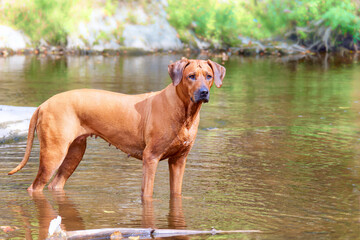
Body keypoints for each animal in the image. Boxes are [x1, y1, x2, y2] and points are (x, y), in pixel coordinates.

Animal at [8, 57, 225, 197]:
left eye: (208, 76)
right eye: (191, 76)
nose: (204, 92)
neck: (185, 112)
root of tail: (43, 104)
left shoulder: (179, 161)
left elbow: (176, 192)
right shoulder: (151, 158)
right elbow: (147, 193)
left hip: (74, 153)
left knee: (55, 184)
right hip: (53, 153)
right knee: (35, 187)